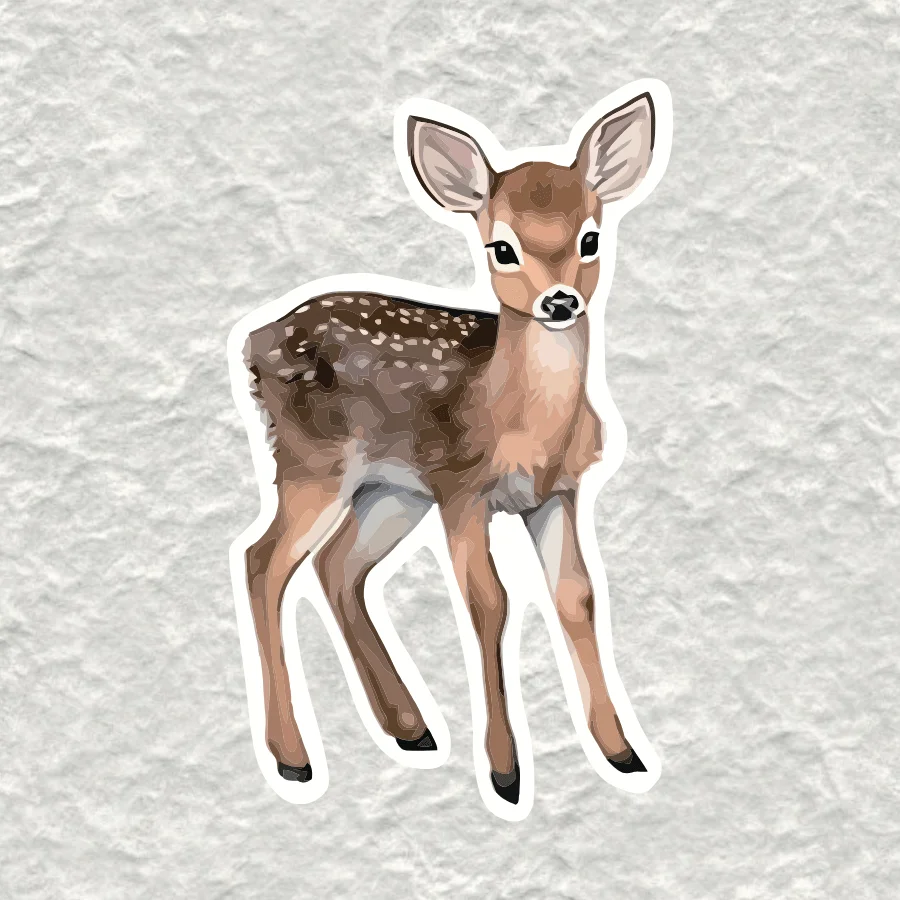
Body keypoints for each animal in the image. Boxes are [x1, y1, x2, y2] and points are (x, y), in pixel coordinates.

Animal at [229, 82, 670, 815]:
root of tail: (254, 343)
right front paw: (505, 773)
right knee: (263, 562)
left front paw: (622, 752)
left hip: (391, 490)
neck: (515, 421)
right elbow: (489, 602)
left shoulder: (557, 494)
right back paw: (294, 758)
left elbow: (576, 596)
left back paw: (409, 728)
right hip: (314, 463)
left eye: (590, 237)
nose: (559, 302)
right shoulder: (464, 488)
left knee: (338, 566)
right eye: (502, 248)